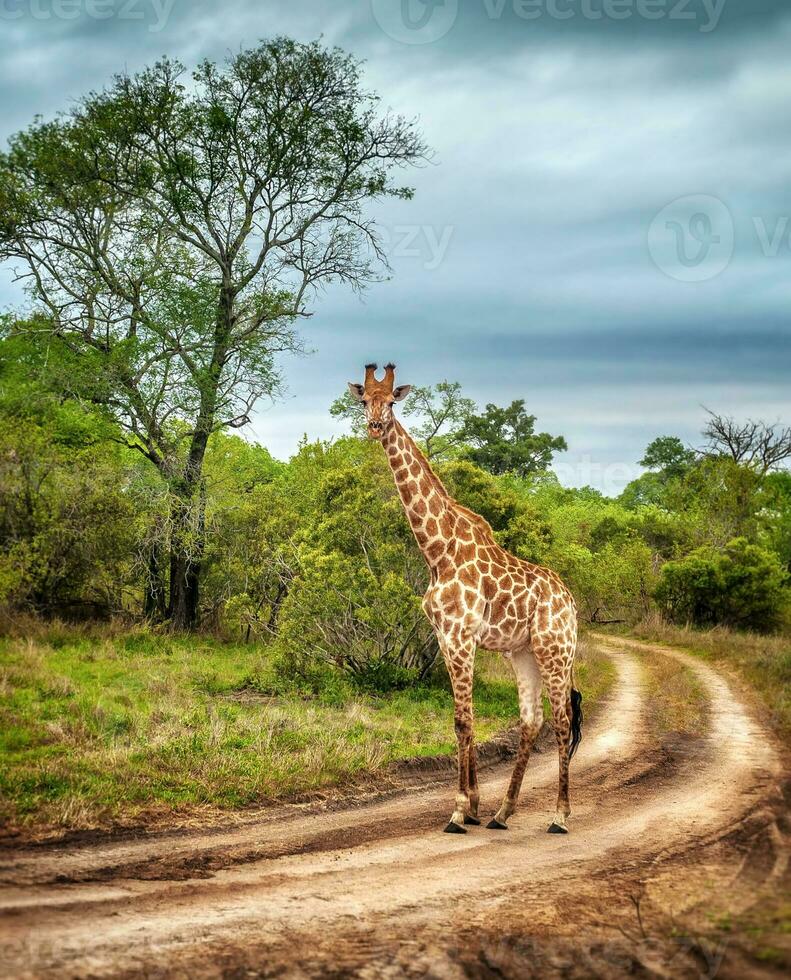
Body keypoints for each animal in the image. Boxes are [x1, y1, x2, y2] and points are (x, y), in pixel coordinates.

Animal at [350, 366, 584, 836]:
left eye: (392, 401)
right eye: (364, 399)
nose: (375, 426)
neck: (437, 551)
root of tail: (570, 603)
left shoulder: (460, 636)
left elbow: (462, 719)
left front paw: (459, 811)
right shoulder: (445, 637)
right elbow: (466, 718)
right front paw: (475, 807)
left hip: (554, 651)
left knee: (563, 721)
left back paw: (559, 816)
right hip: (523, 652)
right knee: (532, 720)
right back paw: (502, 812)